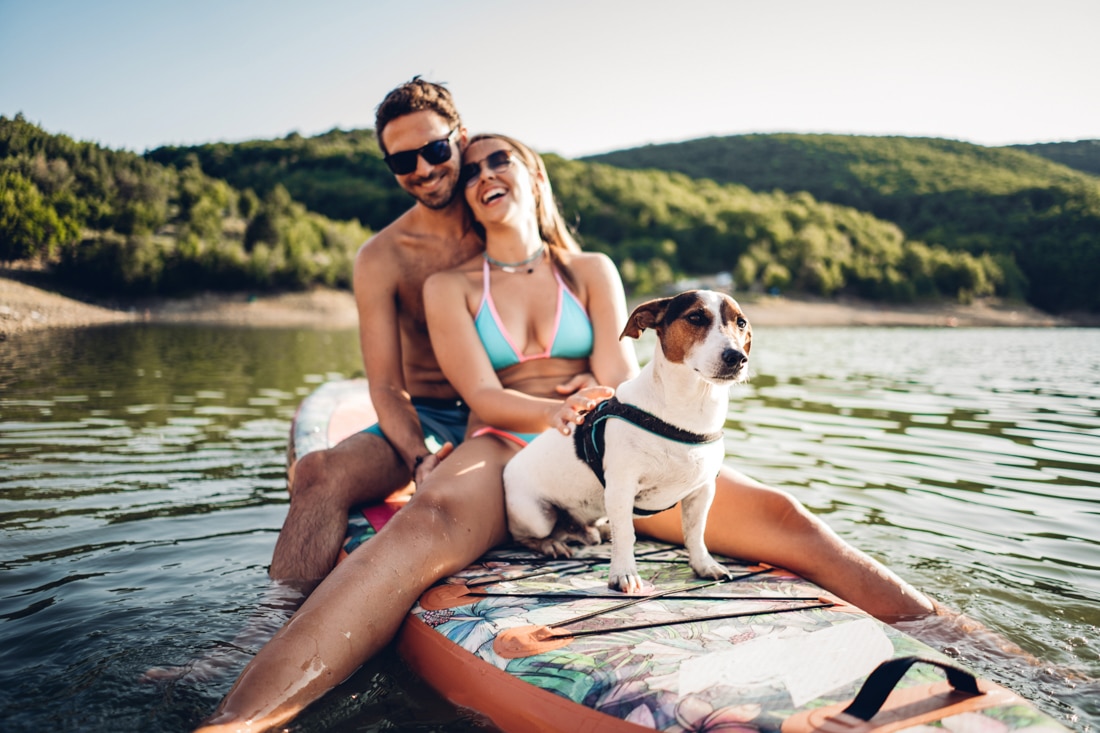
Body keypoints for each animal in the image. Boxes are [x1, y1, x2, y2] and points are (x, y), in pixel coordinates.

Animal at [503, 288, 752, 589]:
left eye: (741, 323)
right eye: (695, 317)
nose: (736, 357)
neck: (688, 411)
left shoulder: (702, 491)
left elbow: (695, 532)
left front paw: (704, 565)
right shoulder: (622, 487)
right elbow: (625, 535)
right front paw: (624, 573)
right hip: (536, 515)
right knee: (525, 536)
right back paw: (550, 544)